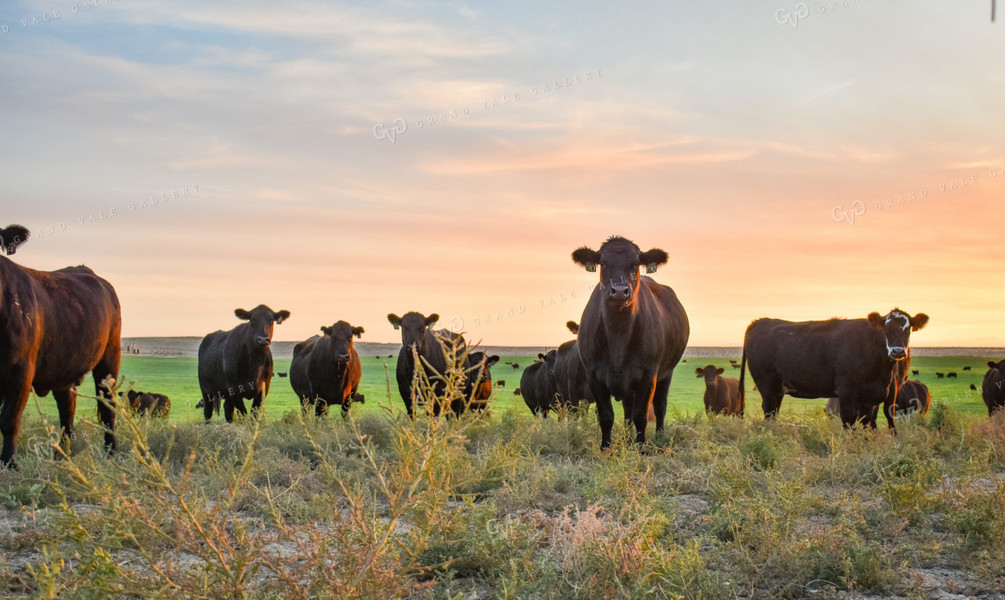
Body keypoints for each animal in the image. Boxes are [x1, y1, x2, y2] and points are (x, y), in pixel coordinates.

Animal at [0, 225, 123, 468]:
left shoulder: (20, 373)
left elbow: (9, 420)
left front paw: (8, 463)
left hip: (109, 357)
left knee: (107, 406)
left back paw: (110, 451)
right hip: (63, 368)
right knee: (67, 409)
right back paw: (62, 455)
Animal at [574, 234, 691, 444]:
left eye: (635, 264)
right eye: (603, 263)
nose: (620, 291)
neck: (618, 334)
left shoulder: (648, 375)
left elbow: (641, 416)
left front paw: (641, 446)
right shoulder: (594, 375)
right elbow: (606, 416)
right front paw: (606, 447)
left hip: (666, 372)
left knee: (660, 406)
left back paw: (659, 438)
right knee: (628, 408)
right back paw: (627, 438)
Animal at [739, 305, 924, 428]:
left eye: (908, 329)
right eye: (886, 329)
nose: (897, 350)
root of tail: (760, 322)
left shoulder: (870, 397)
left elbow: (866, 422)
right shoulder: (846, 391)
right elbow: (849, 421)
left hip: (777, 389)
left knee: (773, 412)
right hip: (766, 385)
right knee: (769, 411)